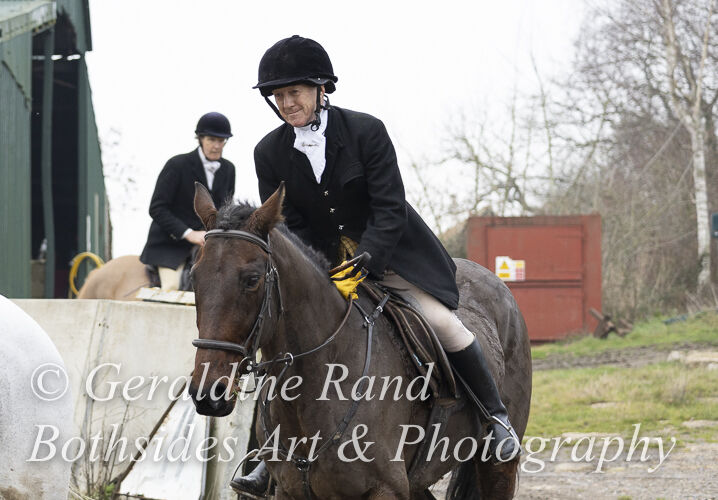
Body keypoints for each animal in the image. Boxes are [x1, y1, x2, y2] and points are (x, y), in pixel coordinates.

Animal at [188, 183, 532, 500]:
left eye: (252, 280)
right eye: (193, 277)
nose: (209, 394)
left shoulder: (385, 489)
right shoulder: (290, 490)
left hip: (494, 464)